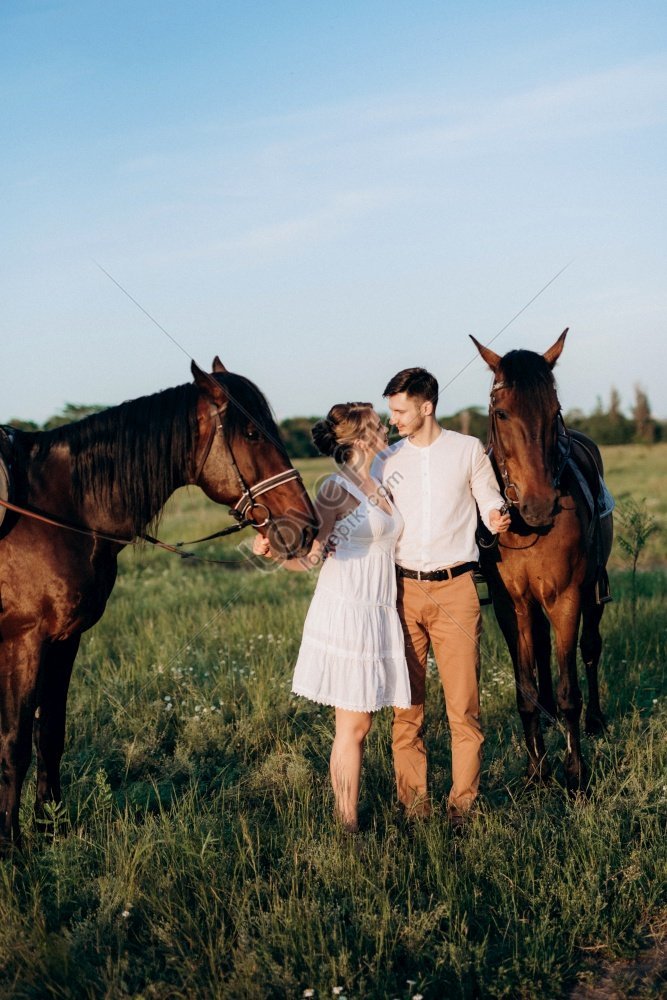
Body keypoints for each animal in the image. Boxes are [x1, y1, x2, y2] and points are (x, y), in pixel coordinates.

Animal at [0, 356, 318, 848]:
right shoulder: (24, 641)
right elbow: (14, 742)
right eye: (251, 433)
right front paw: (12, 845)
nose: (306, 527)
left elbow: (50, 733)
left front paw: (51, 830)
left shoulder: (63, 639)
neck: (57, 508)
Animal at [472, 332, 612, 792]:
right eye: (501, 413)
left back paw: (596, 722)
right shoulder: (510, 606)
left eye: (555, 412)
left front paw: (576, 774)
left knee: (590, 649)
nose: (539, 505)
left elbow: (571, 691)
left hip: (591, 590)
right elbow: (526, 689)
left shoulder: (566, 596)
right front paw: (536, 770)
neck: (524, 527)